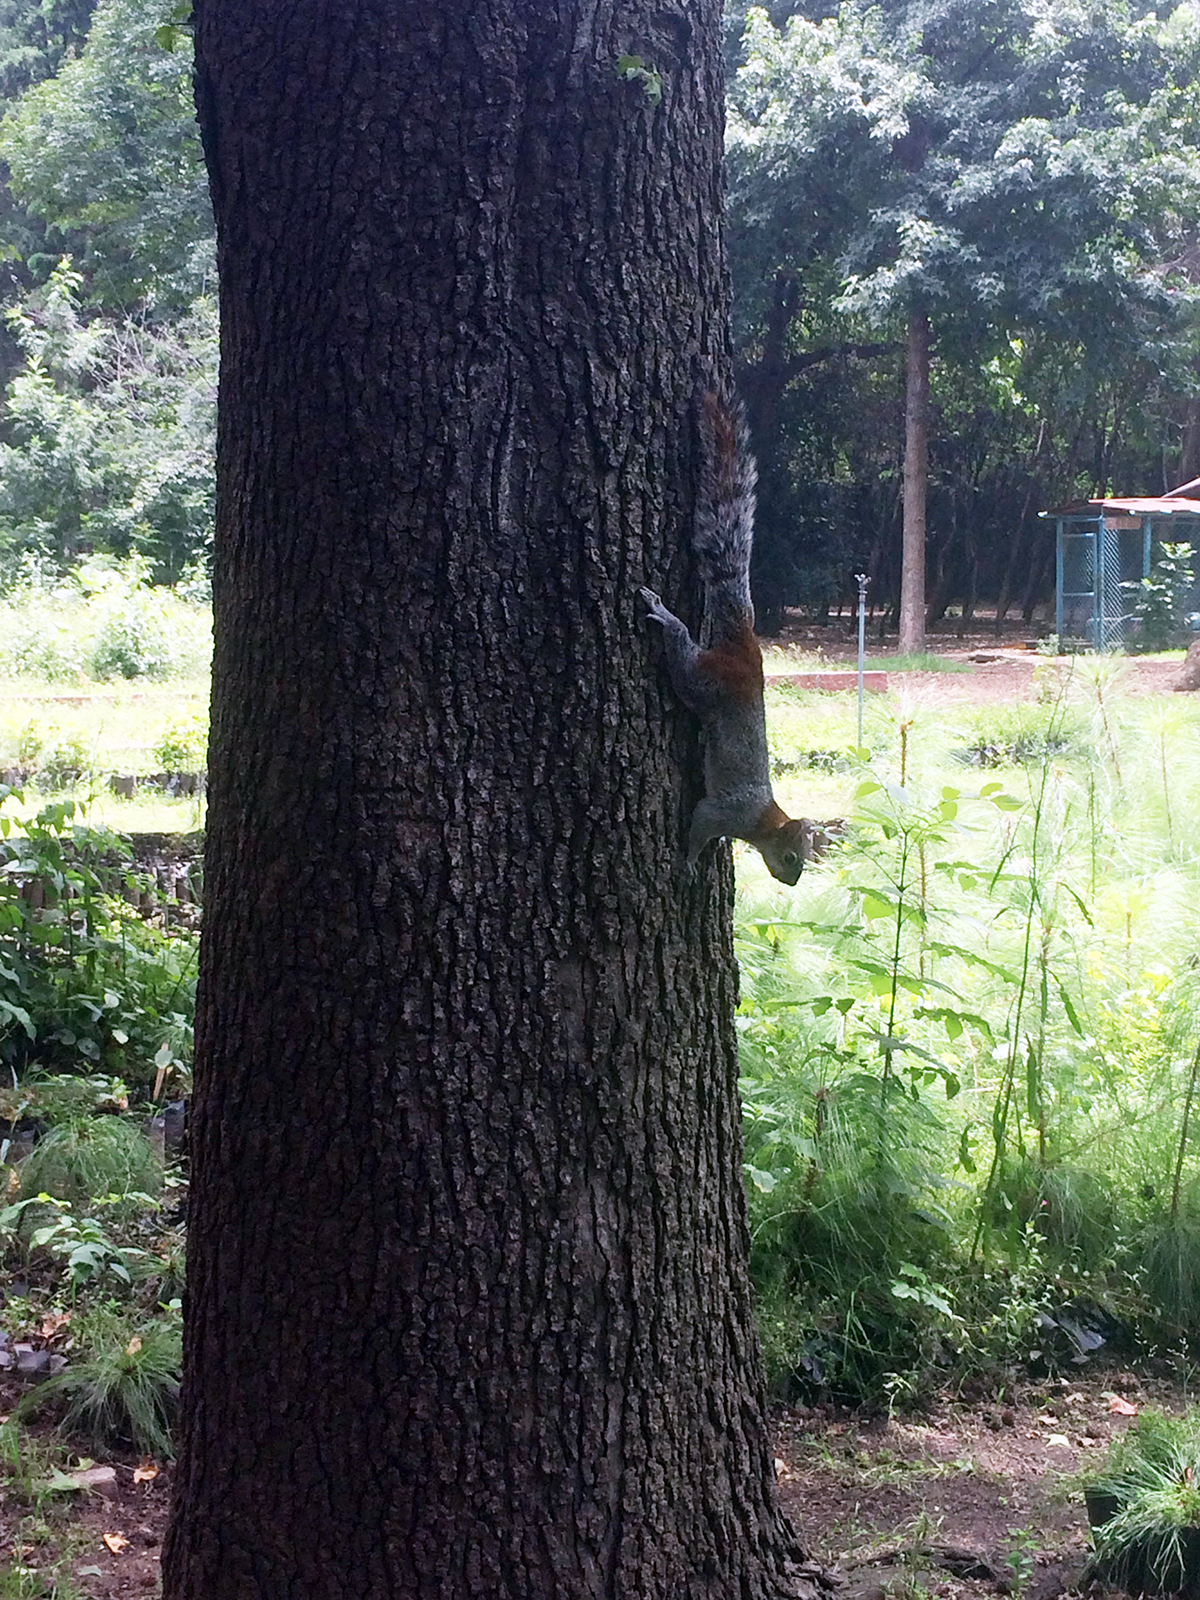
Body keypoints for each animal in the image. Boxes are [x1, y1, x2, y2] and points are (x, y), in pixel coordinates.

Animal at [643, 390, 812, 889]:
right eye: (792, 856)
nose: (792, 883)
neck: (762, 819)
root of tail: (746, 648)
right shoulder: (724, 810)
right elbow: (701, 821)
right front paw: (689, 860)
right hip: (707, 681)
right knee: (682, 656)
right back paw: (666, 616)